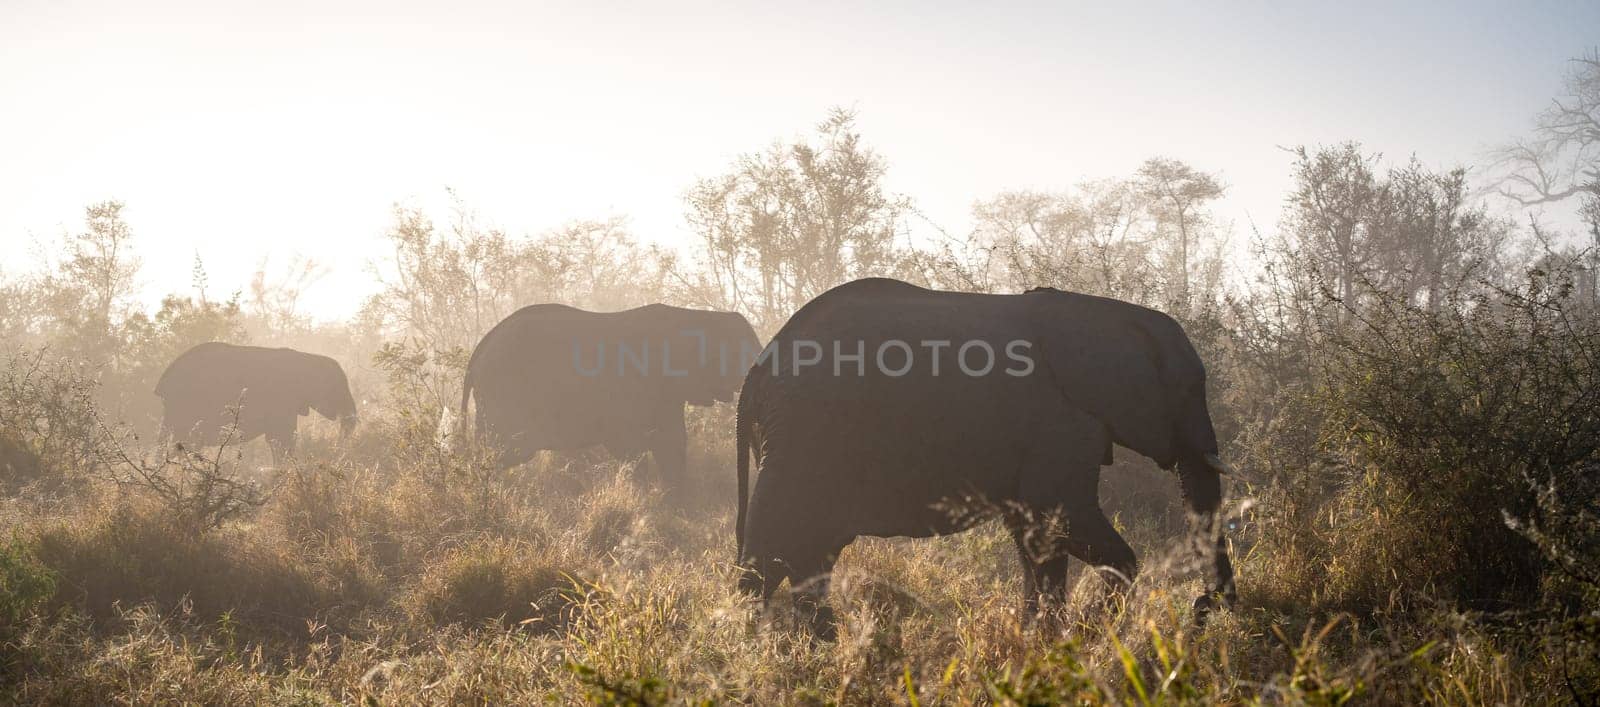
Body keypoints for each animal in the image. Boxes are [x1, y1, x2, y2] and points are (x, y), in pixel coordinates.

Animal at [154, 342, 358, 463]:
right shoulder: (283, 398)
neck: (308, 357)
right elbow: (283, 438)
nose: (336, 450)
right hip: (185, 405)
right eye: (339, 387)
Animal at [736, 278, 1235, 636]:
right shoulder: (1062, 421)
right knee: (774, 549)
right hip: (801, 436)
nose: (1204, 608)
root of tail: (754, 372)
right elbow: (1059, 521)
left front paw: (1040, 637)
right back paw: (757, 643)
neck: (1107, 314)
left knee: (809, 553)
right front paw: (1077, 637)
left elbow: (1031, 533)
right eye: (1192, 389)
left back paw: (817, 641)